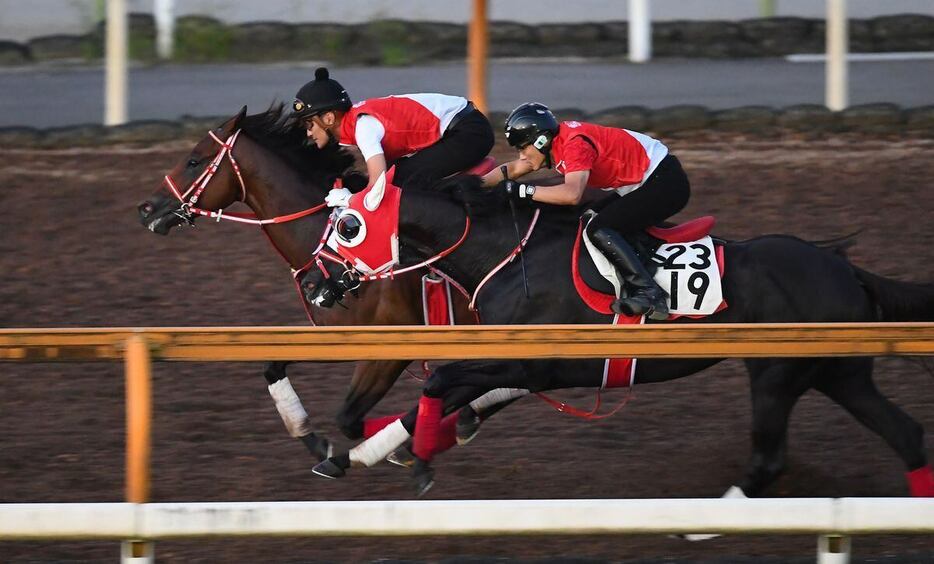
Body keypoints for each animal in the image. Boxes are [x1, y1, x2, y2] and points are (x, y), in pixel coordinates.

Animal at [135, 106, 478, 462]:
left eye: (194, 160)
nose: (145, 208)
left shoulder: (391, 350)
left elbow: (350, 419)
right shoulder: (338, 335)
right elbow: (275, 368)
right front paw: (312, 438)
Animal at [310, 174, 934, 496]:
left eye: (348, 226)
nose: (315, 283)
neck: (510, 254)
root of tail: (843, 267)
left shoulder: (530, 364)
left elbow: (439, 382)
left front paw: (416, 457)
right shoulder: (514, 364)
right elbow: (439, 392)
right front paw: (371, 452)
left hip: (776, 374)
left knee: (769, 461)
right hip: (838, 373)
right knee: (906, 434)